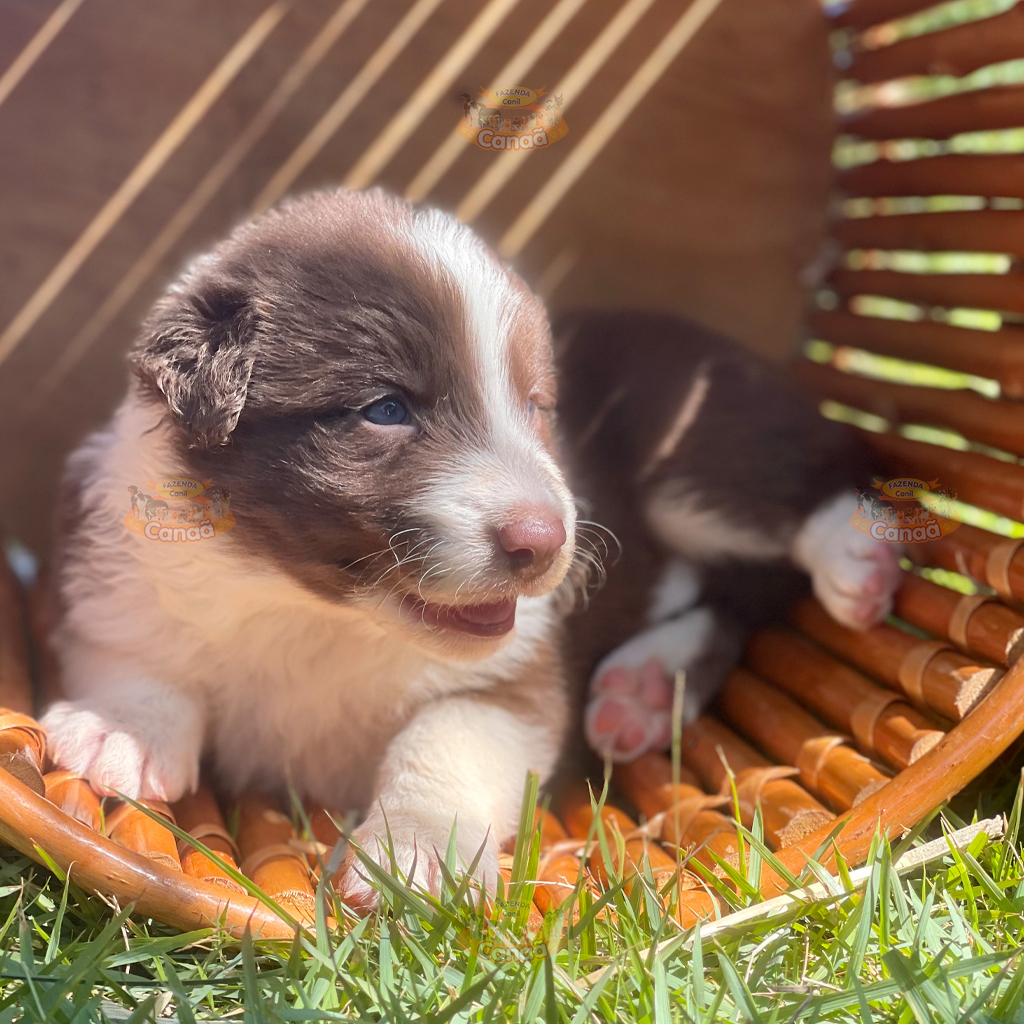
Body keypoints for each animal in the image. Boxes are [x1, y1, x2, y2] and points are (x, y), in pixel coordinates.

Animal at [41, 188, 577, 909]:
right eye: (386, 409)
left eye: (533, 406)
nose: (544, 540)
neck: (317, 612)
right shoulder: (110, 574)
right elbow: (139, 642)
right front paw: (118, 730)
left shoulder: (518, 678)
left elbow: (448, 733)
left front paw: (420, 848)